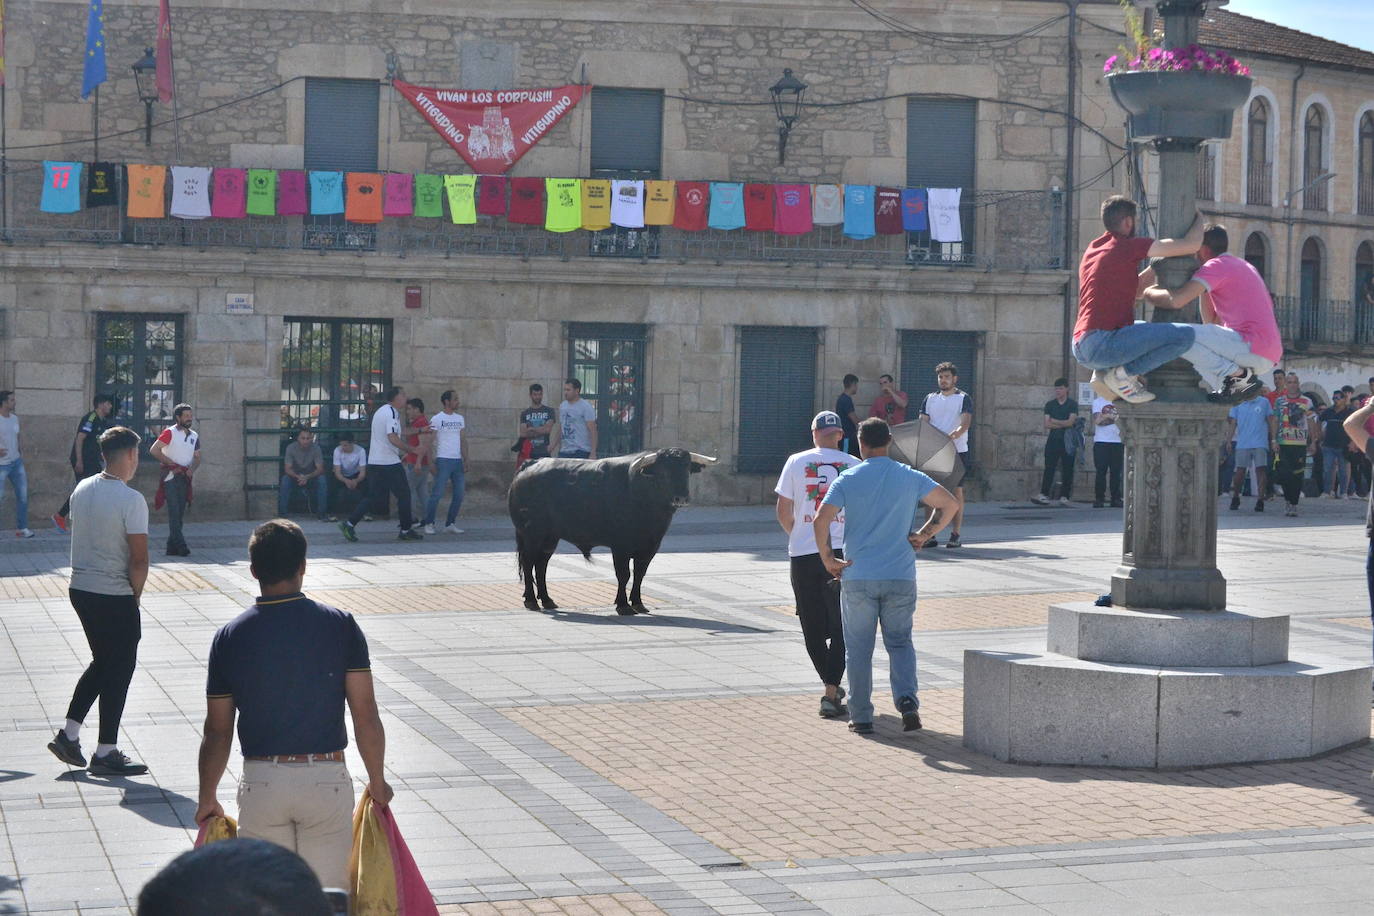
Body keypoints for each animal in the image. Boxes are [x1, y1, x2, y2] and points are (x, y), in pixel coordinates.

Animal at [508, 444, 719, 612]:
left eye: (687, 469)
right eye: (663, 471)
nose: (681, 497)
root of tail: (530, 465)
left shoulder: (650, 547)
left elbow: (640, 574)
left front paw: (638, 603)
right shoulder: (620, 546)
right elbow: (624, 574)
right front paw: (623, 606)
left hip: (550, 538)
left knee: (541, 565)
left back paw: (547, 600)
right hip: (532, 534)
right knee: (529, 563)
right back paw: (531, 601)